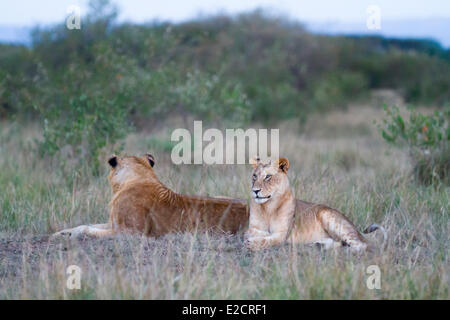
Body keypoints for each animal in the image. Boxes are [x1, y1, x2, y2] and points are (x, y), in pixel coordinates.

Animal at [54, 154, 250, 239]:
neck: (140, 177)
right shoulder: (113, 223)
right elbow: (86, 224)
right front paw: (60, 233)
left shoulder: (132, 232)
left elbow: (88, 229)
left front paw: (72, 235)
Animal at [244, 156, 384, 251]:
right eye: (254, 176)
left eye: (268, 176)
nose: (255, 190)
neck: (268, 207)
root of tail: (355, 227)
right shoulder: (254, 227)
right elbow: (251, 232)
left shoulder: (282, 234)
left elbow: (268, 239)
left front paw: (253, 242)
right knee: (340, 242)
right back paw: (319, 245)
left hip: (330, 218)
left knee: (363, 245)